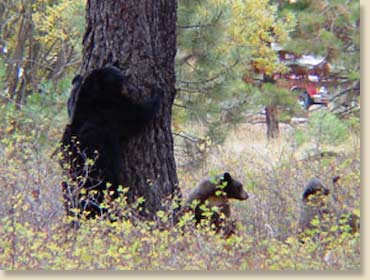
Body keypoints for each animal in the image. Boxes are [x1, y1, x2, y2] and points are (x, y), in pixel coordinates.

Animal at [60, 65, 162, 221]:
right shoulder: (111, 113)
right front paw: (157, 92)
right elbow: (137, 115)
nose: (125, 74)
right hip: (99, 175)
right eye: (114, 73)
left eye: (114, 67)